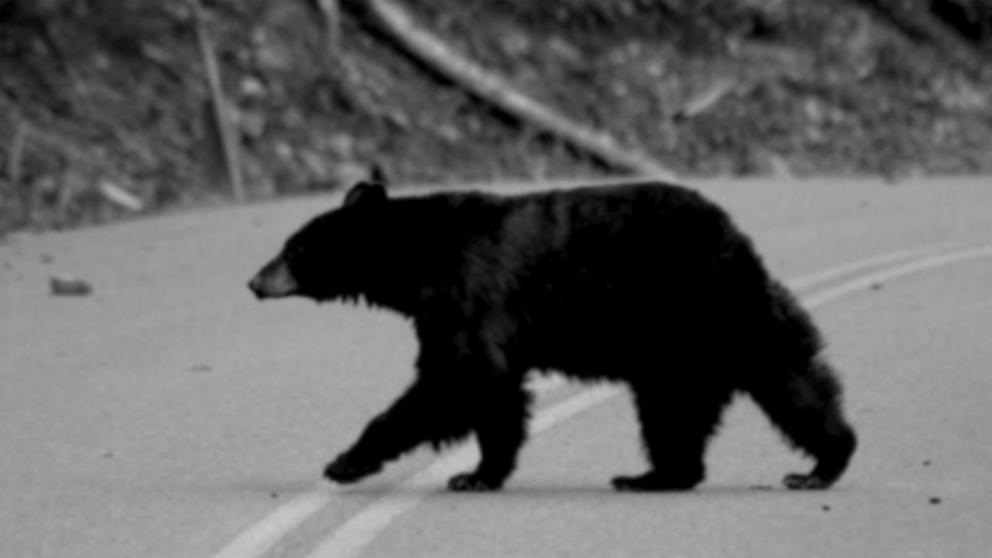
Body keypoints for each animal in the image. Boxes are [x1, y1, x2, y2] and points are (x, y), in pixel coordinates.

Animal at [248, 180, 856, 492]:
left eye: (294, 249)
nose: (254, 281)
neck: (420, 259)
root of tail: (737, 240)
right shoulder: (448, 310)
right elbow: (489, 390)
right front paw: (482, 471)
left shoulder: (470, 295)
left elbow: (457, 381)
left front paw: (351, 462)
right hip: (702, 336)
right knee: (745, 392)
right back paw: (662, 474)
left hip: (704, 313)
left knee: (767, 384)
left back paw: (819, 465)